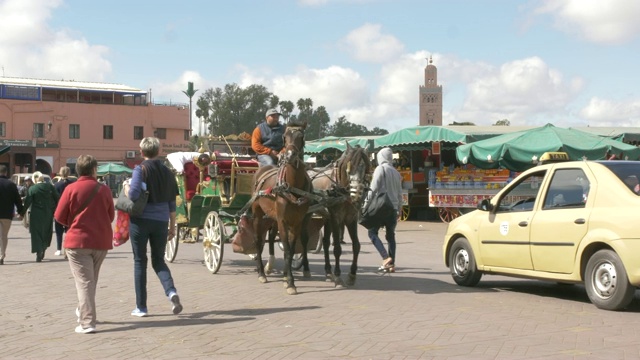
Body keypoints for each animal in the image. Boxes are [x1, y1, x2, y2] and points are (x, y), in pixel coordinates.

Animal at [250, 125, 312, 294]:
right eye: (285, 137)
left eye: (301, 136)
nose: (289, 155)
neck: (292, 186)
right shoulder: (283, 220)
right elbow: (288, 250)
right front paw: (290, 282)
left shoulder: (297, 221)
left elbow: (291, 249)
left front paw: (286, 277)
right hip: (258, 214)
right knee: (258, 240)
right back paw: (261, 272)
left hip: (273, 217)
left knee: (271, 237)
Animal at [308, 143, 372, 286]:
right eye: (349, 167)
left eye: (364, 167)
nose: (357, 192)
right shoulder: (335, 218)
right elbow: (337, 248)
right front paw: (338, 275)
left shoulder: (351, 218)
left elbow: (356, 245)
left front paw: (352, 275)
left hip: (326, 219)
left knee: (325, 242)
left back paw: (328, 271)